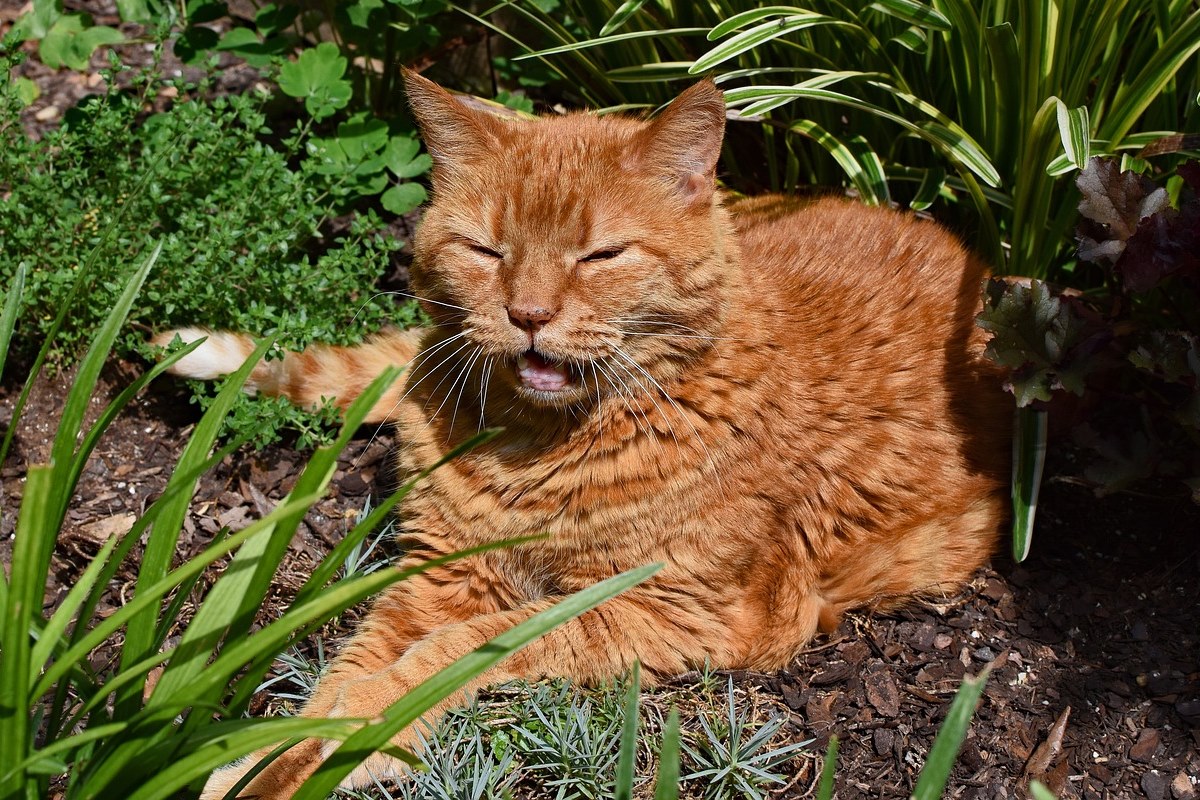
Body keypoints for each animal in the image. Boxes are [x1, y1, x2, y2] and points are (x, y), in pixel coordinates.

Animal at [154, 71, 1008, 796]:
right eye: (486, 250)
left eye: (600, 255)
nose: (529, 314)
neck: (531, 446)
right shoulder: (438, 575)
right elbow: (343, 678)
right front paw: (267, 760)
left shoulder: (674, 610)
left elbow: (442, 659)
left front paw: (352, 744)